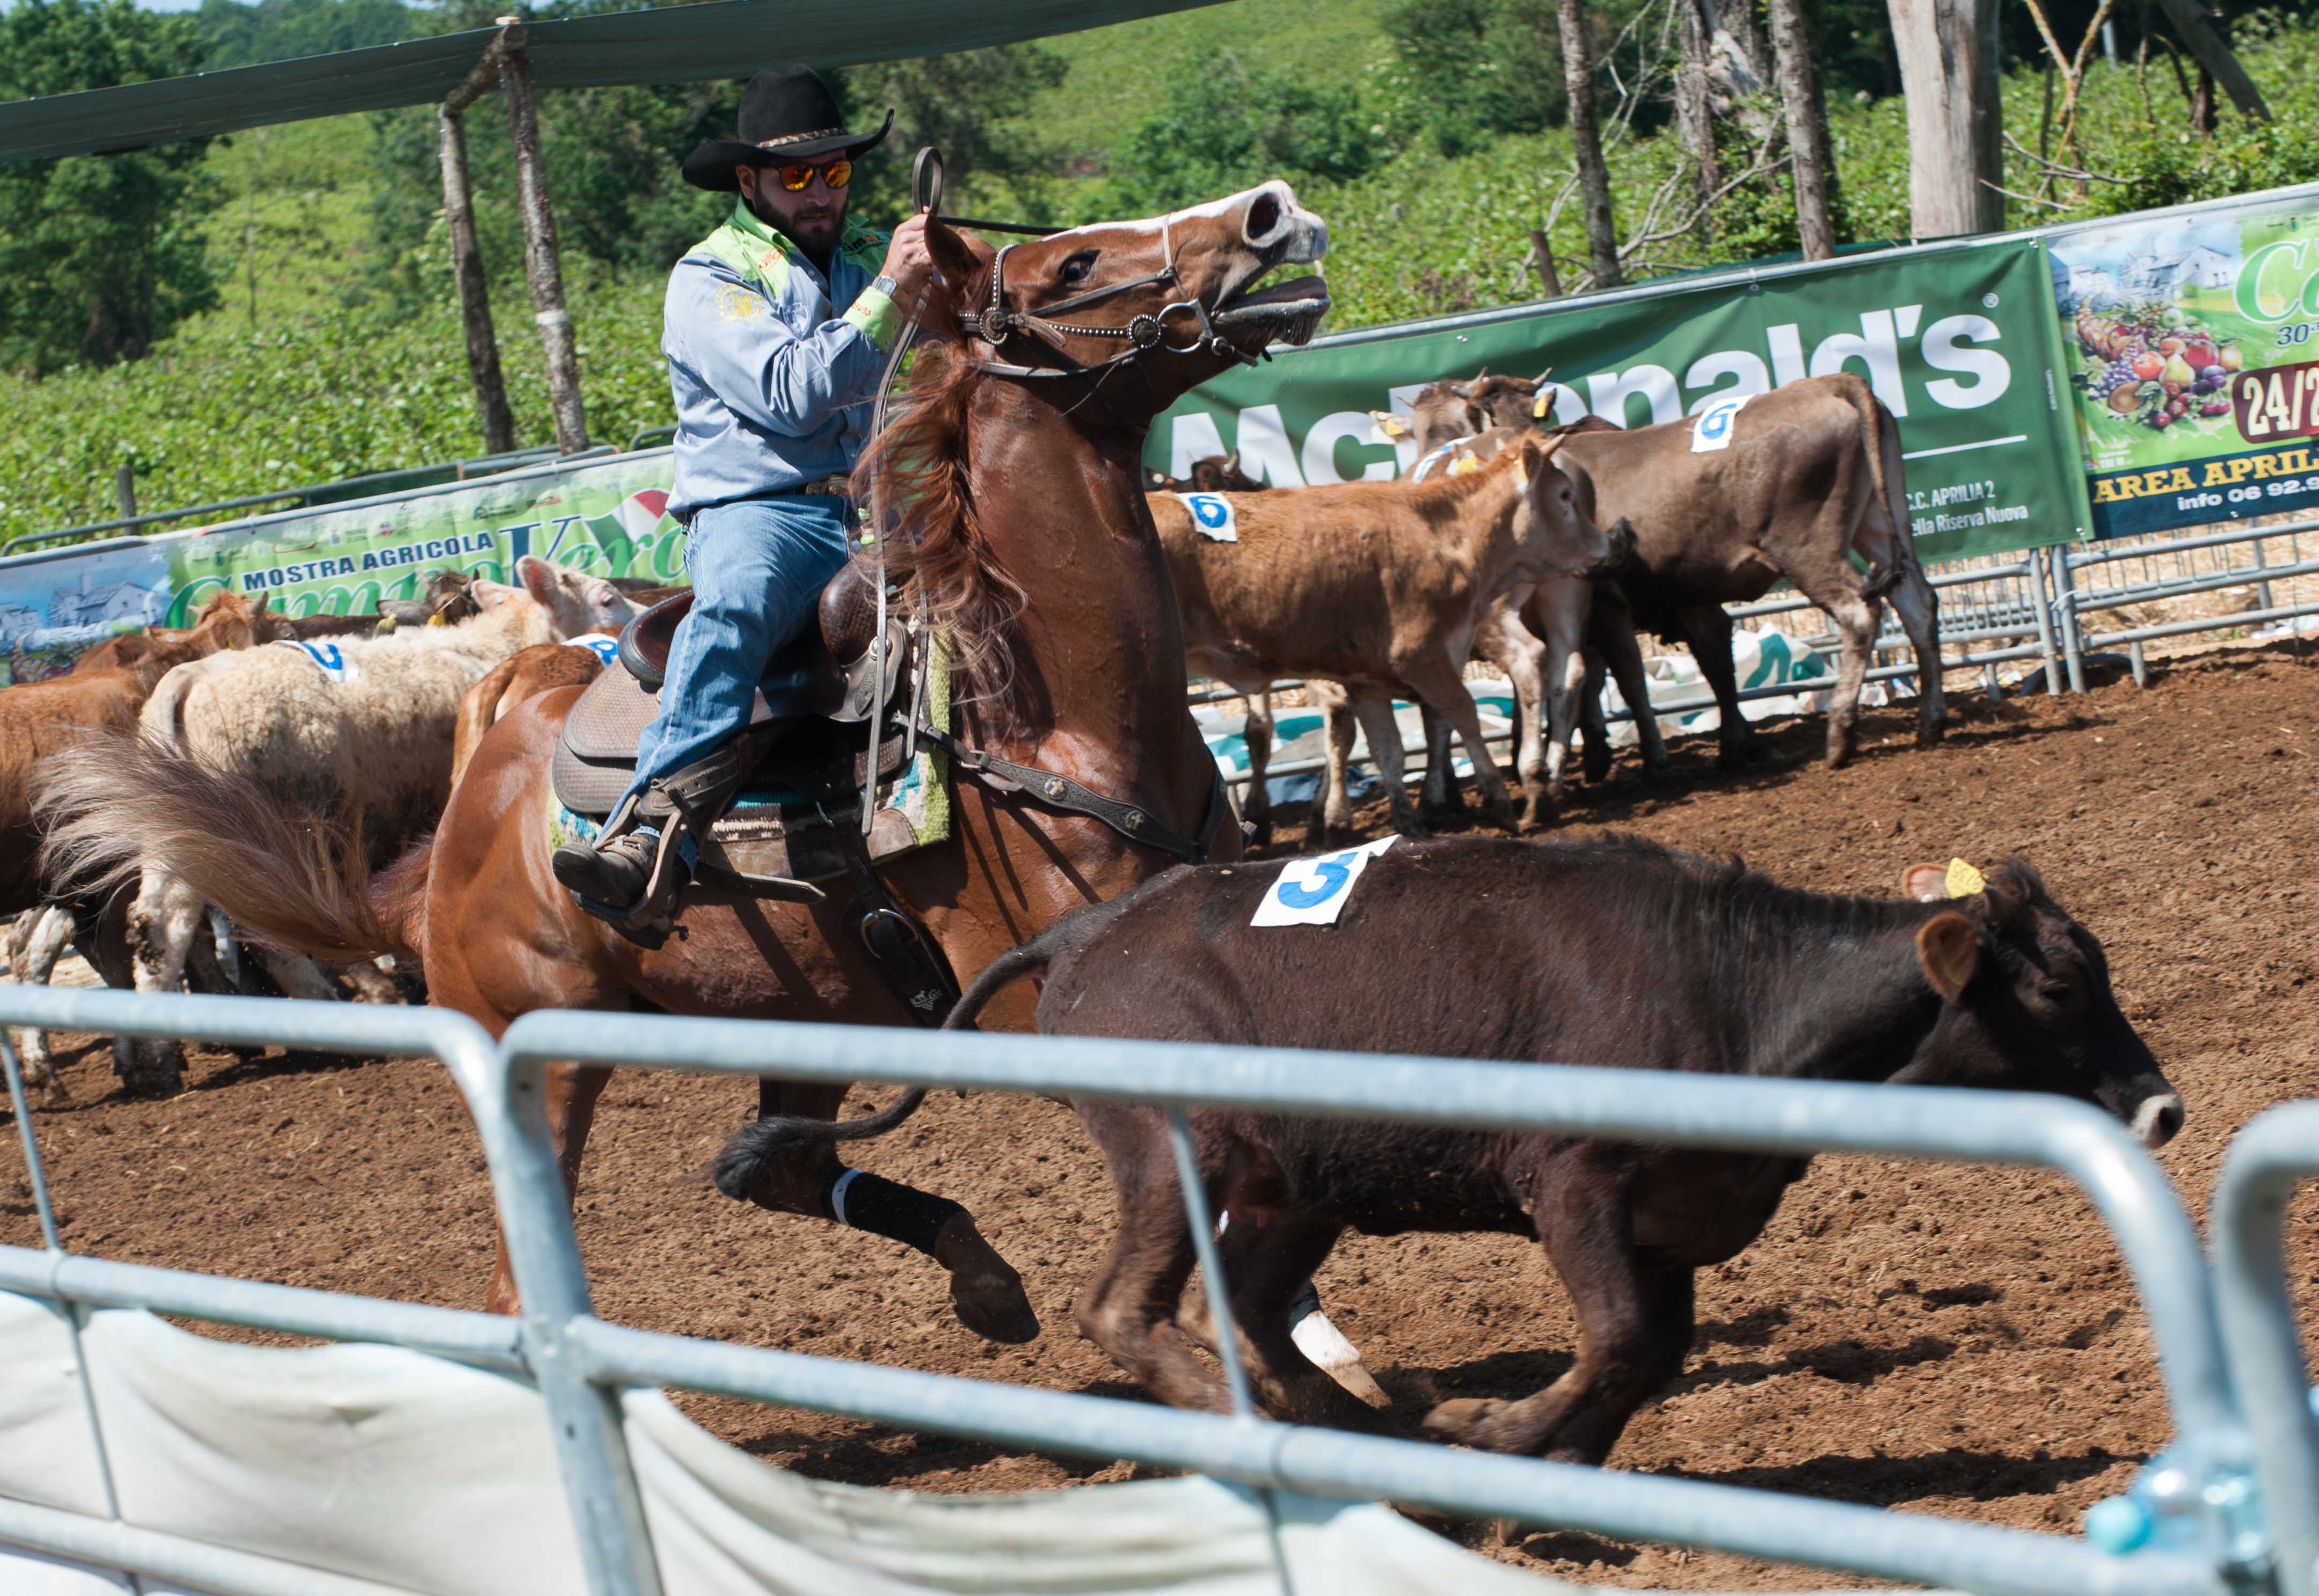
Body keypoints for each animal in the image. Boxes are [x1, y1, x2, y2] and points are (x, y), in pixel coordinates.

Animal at [45, 184, 1336, 1336]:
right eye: (1072, 266)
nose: (1271, 212)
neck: (1047, 720)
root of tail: (487, 770)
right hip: (532, 1054)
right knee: (525, 1277)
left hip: (812, 1016)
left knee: (775, 1167)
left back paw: (983, 1281)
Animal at [1160, 429, 1632, 840]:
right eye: (1564, 496)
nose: (1605, 542)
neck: (1440, 533)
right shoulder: (1420, 656)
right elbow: (1461, 715)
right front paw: (1497, 800)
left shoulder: (1368, 678)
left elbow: (1390, 749)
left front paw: (1407, 823)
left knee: (1561, 670)